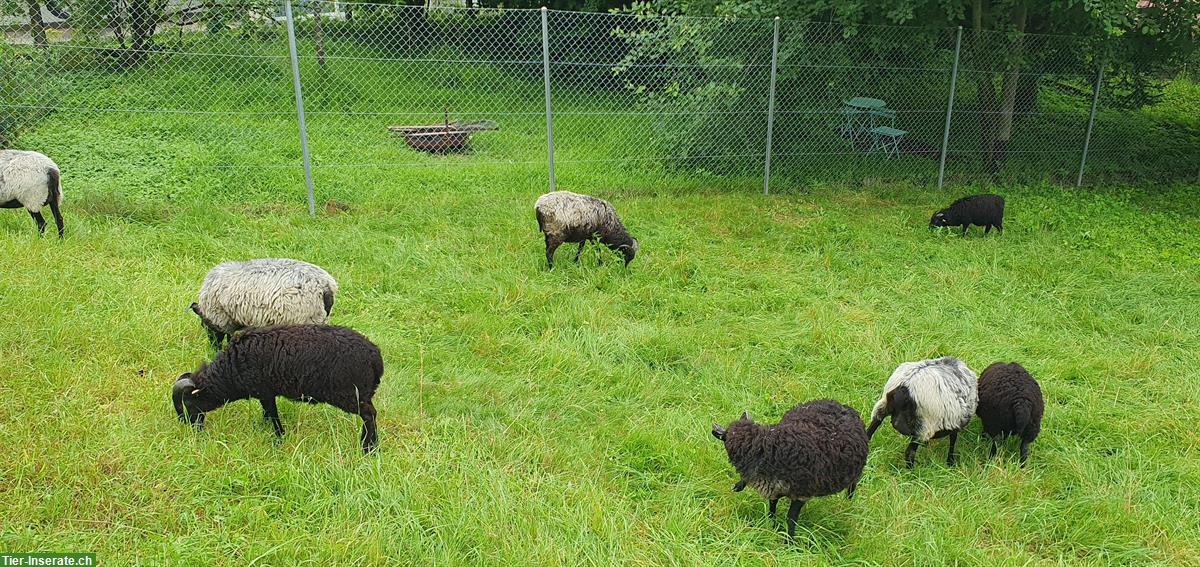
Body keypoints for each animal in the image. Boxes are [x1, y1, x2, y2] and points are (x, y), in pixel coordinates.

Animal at [169, 326, 381, 454]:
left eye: (188, 404)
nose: (193, 429)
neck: (229, 371)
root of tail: (375, 356)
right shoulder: (266, 393)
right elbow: (267, 413)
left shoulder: (265, 391)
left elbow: (272, 414)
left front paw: (279, 438)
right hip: (361, 393)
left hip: (349, 393)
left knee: (369, 414)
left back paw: (368, 448)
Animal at [705, 398, 868, 540]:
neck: (767, 449)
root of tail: (843, 406)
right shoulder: (773, 487)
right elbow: (772, 506)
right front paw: (771, 524)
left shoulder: (802, 494)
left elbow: (791, 519)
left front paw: (790, 542)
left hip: (855, 472)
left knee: (852, 485)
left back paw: (848, 501)